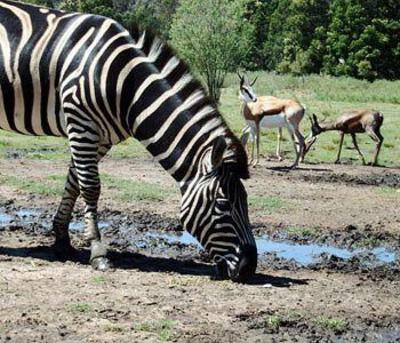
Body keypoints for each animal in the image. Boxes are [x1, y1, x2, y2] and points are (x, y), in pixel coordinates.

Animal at [0, 0, 256, 282]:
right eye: (223, 204)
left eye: (246, 201)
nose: (249, 267)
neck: (128, 88)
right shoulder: (81, 122)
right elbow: (90, 186)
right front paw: (98, 251)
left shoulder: (101, 137)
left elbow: (74, 182)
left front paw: (62, 241)